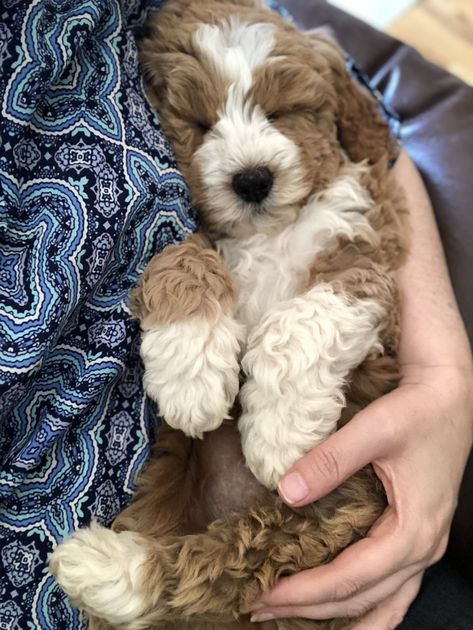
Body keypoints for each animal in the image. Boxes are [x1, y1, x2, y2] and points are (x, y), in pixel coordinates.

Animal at [49, 2, 408, 628]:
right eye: (198, 122)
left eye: (282, 111)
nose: (252, 179)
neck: (265, 235)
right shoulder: (186, 227)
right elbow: (180, 252)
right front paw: (192, 369)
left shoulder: (366, 263)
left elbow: (301, 321)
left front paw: (279, 432)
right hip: (175, 472)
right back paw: (108, 568)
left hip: (327, 514)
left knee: (225, 566)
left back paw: (106, 568)